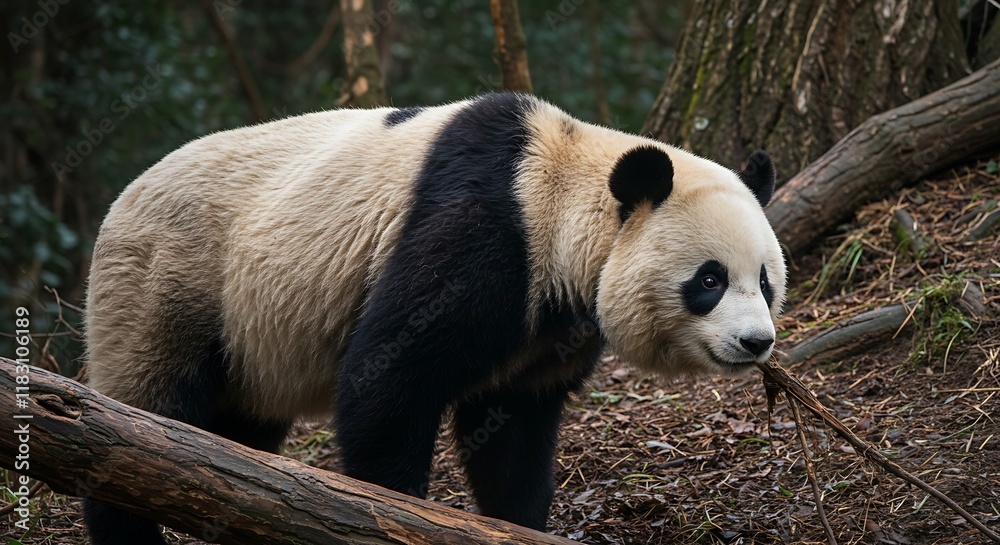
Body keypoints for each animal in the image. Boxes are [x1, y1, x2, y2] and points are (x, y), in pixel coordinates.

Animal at [83, 93, 786, 544]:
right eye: (709, 280)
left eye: (765, 281)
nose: (757, 342)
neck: (563, 182)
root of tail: (121, 198)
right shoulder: (486, 229)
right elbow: (388, 377)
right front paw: (389, 512)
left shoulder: (546, 331)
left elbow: (512, 429)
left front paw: (518, 522)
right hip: (174, 279)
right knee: (150, 416)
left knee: (234, 445)